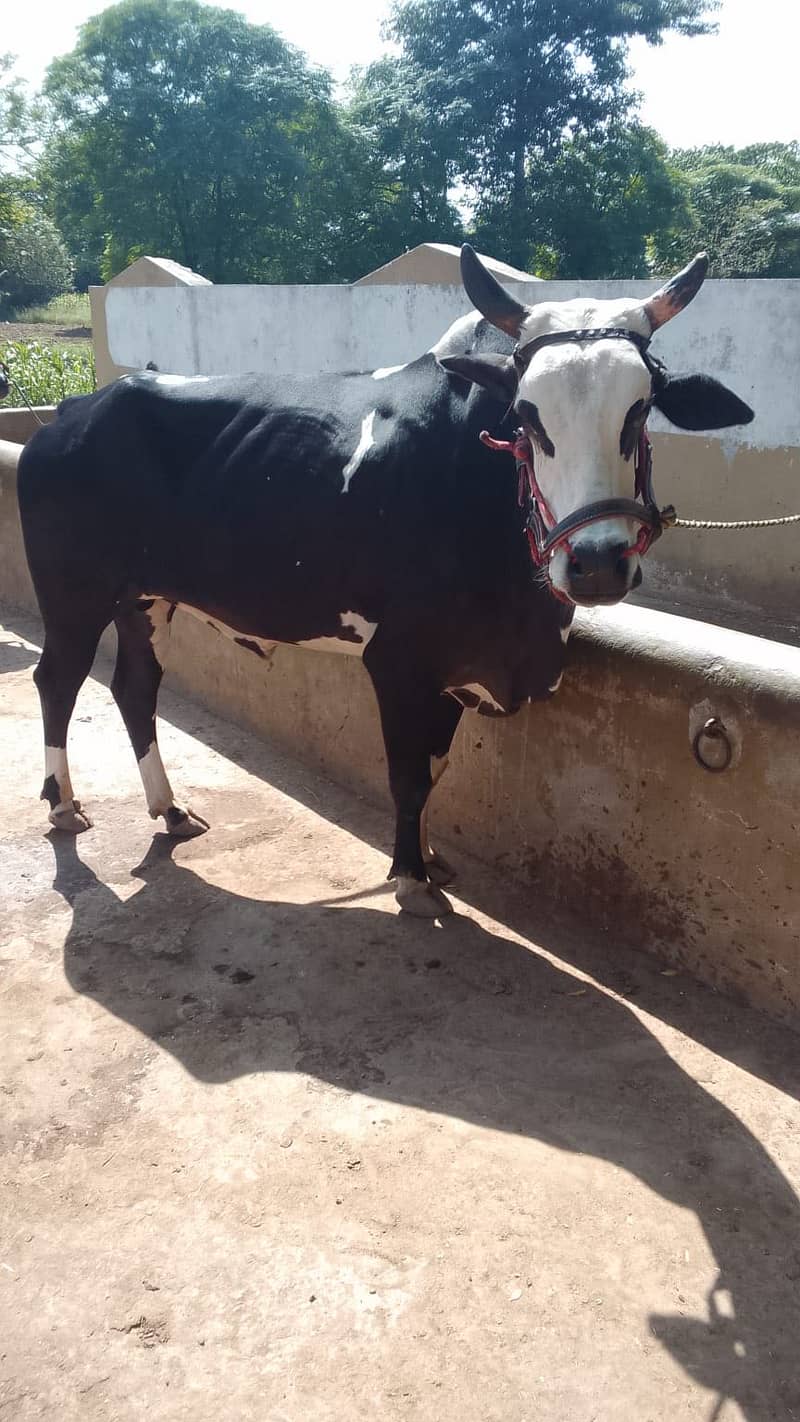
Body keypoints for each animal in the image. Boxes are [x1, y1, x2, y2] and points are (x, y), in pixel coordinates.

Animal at [18, 247, 753, 916]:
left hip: (145, 596)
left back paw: (170, 811)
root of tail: (77, 407)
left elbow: (435, 766)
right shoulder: (398, 659)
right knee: (58, 679)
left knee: (135, 686)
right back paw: (64, 806)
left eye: (641, 408)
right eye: (526, 414)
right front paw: (411, 880)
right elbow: (408, 775)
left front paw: (425, 856)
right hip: (74, 593)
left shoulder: (457, 667)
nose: (596, 561)